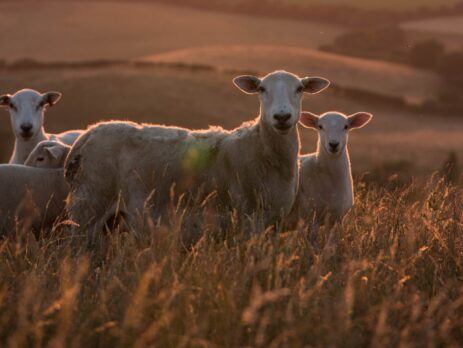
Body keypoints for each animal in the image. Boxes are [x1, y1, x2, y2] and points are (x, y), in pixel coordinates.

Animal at [63, 69, 330, 241]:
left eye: (300, 89)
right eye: (262, 89)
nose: (282, 116)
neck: (263, 151)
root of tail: (86, 135)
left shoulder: (273, 222)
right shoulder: (246, 219)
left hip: (108, 220)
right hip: (88, 207)